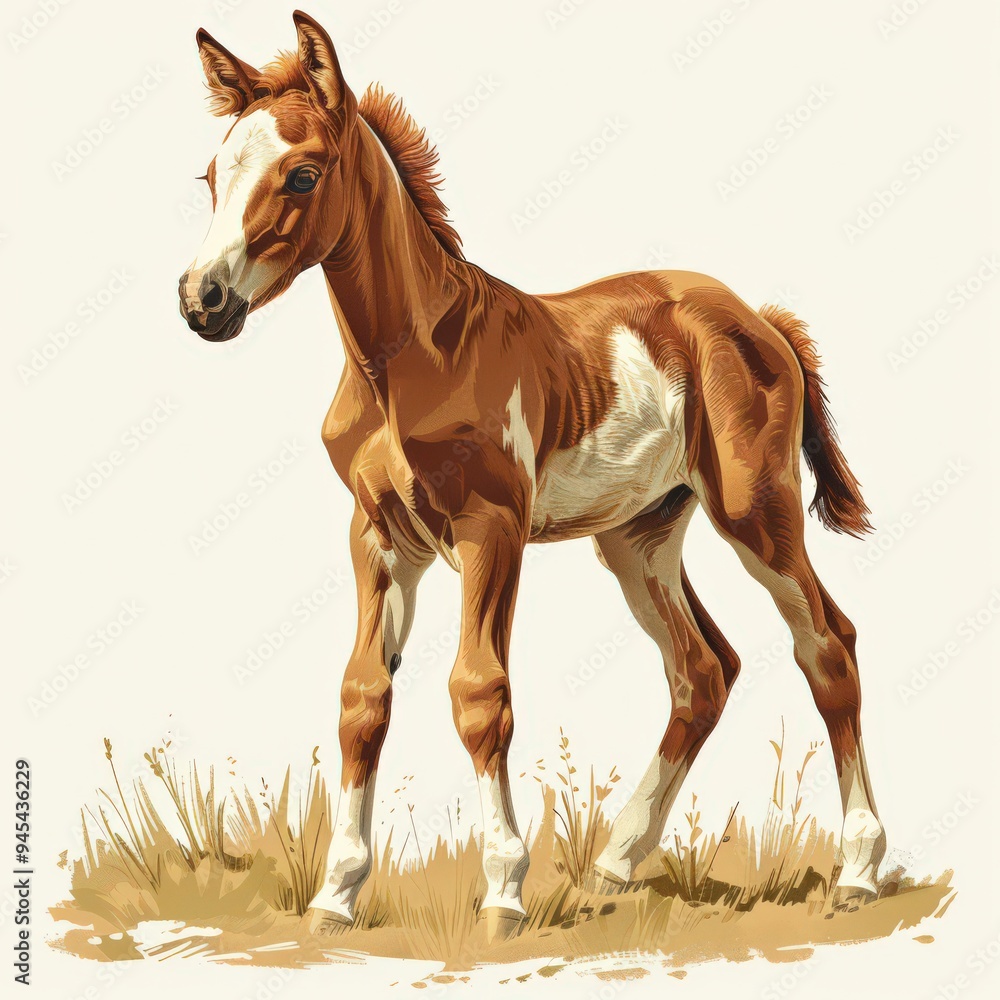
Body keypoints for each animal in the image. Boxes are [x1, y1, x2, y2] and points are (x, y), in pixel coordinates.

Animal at [179, 11, 886, 937]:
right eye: (212, 175)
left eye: (301, 174)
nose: (202, 300)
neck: (412, 359)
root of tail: (756, 319)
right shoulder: (379, 537)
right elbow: (363, 698)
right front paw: (336, 896)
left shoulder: (493, 529)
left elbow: (480, 692)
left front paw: (504, 893)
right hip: (639, 536)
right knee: (703, 670)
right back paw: (616, 864)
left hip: (756, 513)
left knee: (826, 643)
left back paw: (860, 871)